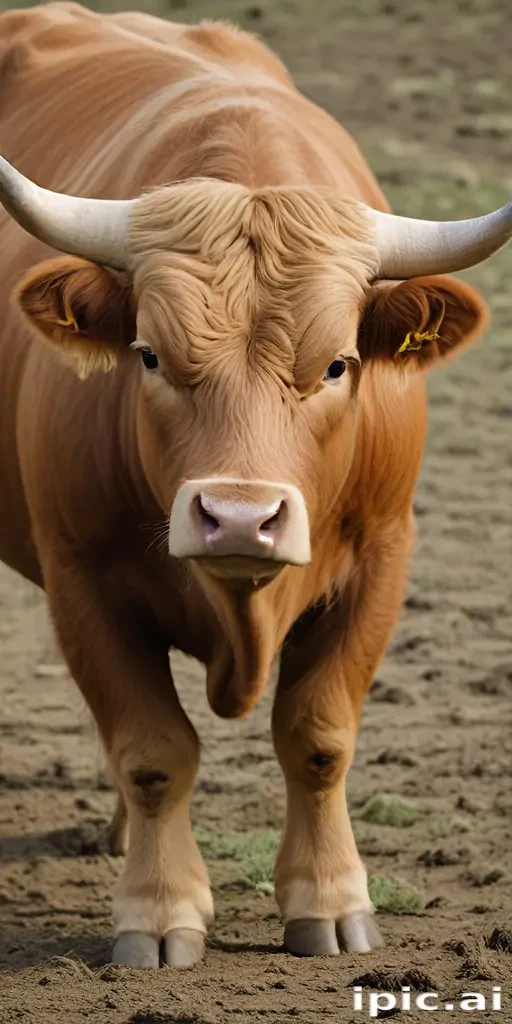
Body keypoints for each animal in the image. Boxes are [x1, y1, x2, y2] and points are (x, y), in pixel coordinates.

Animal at [0, 2, 510, 969]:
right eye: (149, 356)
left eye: (339, 363)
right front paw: (159, 910)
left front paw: (332, 903)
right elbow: (154, 750)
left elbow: (317, 739)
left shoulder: (382, 558)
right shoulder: (81, 573)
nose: (239, 519)